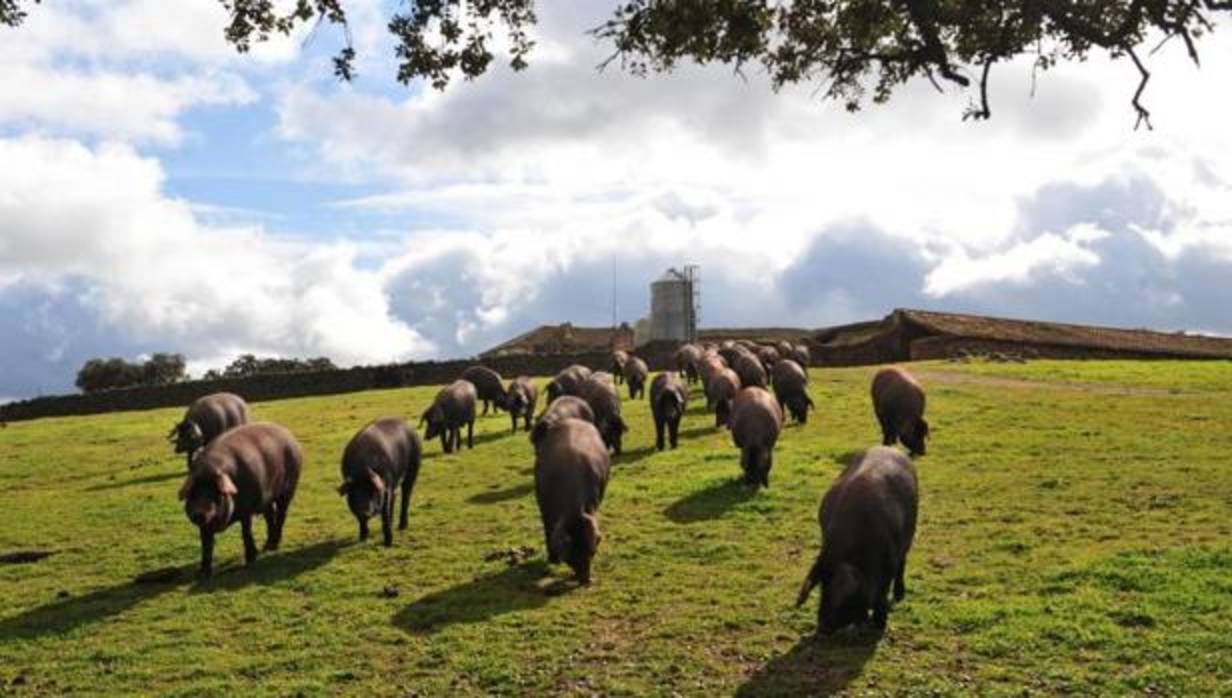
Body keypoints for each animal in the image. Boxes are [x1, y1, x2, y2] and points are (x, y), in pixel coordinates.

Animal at [177, 421, 301, 578]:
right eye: (193, 493)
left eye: (216, 493)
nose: (199, 513)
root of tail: (288, 434)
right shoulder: (204, 526)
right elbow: (206, 544)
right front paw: (202, 574)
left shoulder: (246, 510)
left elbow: (246, 532)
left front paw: (251, 559)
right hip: (266, 497)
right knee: (269, 515)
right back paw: (266, 546)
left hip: (288, 488)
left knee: (281, 515)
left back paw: (273, 546)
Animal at [337, 418, 423, 549]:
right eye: (354, 493)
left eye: (372, 491)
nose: (365, 511)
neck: (362, 469)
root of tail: (409, 426)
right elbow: (361, 520)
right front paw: (362, 538)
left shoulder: (386, 487)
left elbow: (384, 515)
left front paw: (388, 544)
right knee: (395, 498)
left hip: (413, 468)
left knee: (405, 497)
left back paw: (402, 527)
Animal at [532, 421, 608, 583]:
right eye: (570, 556)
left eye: (591, 552)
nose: (586, 580)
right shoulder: (543, 506)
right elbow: (547, 530)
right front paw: (552, 560)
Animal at [798, 448, 916, 635]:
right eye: (823, 586)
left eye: (842, 596)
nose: (822, 627)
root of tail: (890, 449)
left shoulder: (890, 562)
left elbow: (882, 594)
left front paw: (879, 625)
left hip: (910, 536)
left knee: (902, 565)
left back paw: (899, 596)